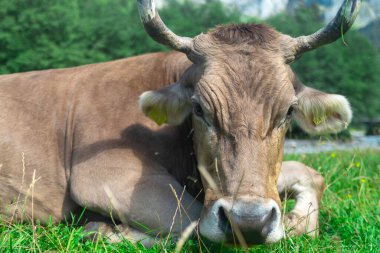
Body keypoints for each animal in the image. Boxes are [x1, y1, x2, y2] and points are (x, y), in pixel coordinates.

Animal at [0, 0, 360, 247]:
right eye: (199, 109)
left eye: (288, 111)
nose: (248, 221)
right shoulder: (103, 175)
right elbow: (192, 223)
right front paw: (102, 230)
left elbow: (309, 174)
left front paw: (297, 221)